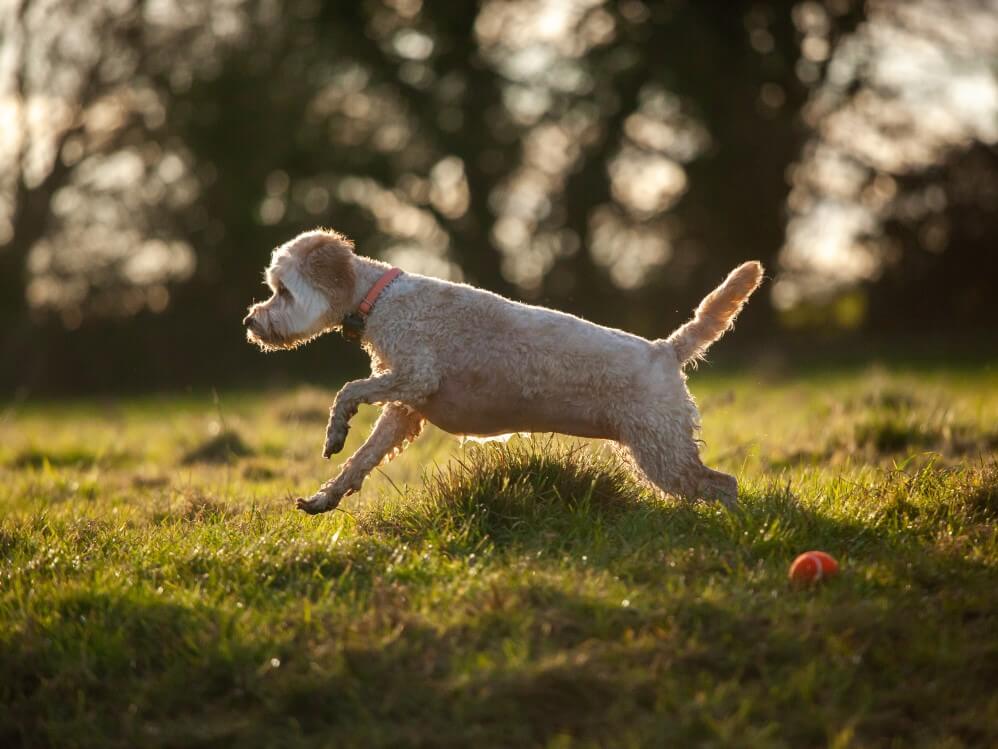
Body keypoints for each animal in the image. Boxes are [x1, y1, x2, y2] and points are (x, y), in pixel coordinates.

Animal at [244, 228, 764, 516]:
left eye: (282, 290)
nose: (251, 322)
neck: (380, 300)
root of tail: (665, 350)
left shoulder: (417, 376)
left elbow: (348, 390)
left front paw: (335, 430)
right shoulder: (404, 410)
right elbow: (361, 460)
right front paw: (325, 496)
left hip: (662, 453)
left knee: (724, 484)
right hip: (663, 451)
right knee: (715, 485)